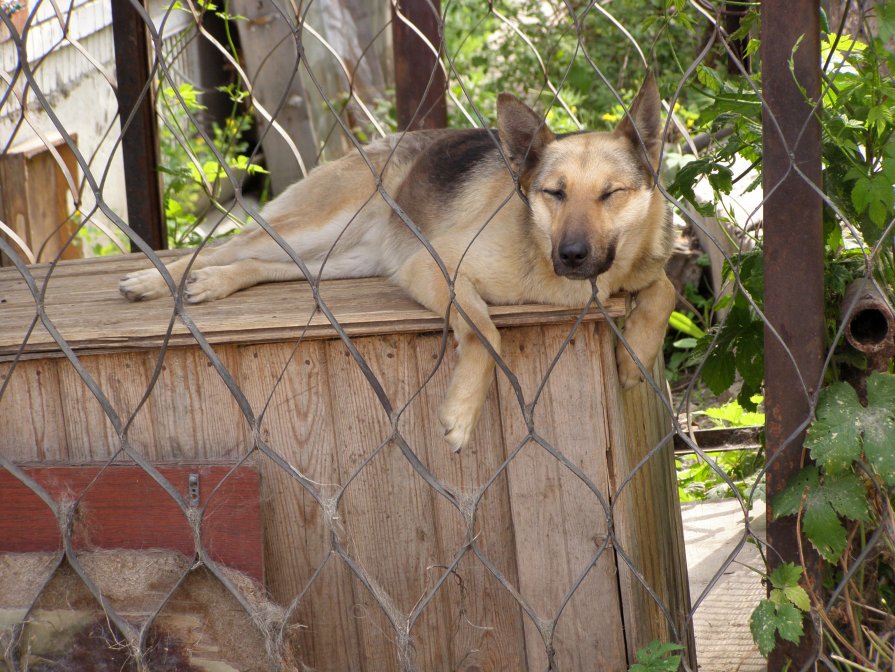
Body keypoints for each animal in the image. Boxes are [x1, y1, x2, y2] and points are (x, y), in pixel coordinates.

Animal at [122, 73, 676, 452]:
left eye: (611, 194)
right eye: (554, 193)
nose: (572, 255)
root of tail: (379, 143)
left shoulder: (645, 270)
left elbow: (665, 290)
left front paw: (634, 357)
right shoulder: (432, 269)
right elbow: (485, 330)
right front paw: (461, 412)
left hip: (342, 261)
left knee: (262, 263)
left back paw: (215, 283)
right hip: (315, 228)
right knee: (230, 245)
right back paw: (159, 281)